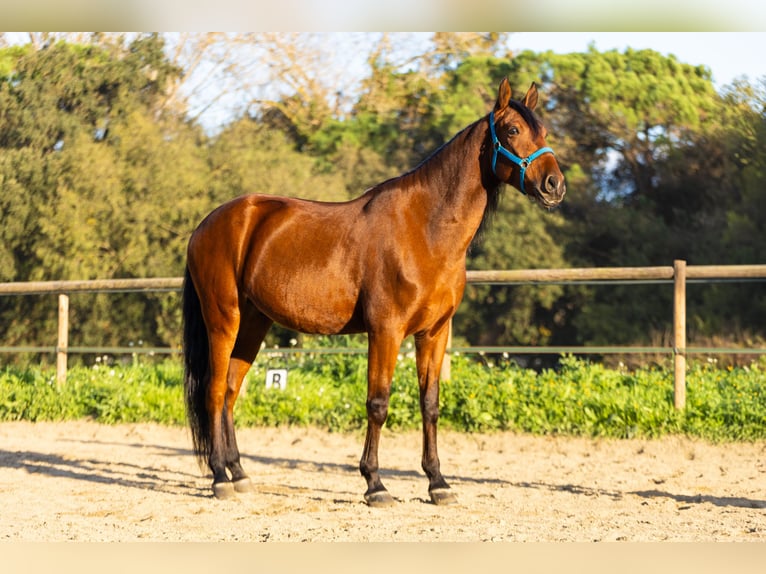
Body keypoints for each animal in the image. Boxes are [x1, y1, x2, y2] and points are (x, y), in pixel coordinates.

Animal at [180, 79, 564, 506]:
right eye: (512, 130)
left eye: (544, 132)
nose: (554, 185)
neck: (425, 229)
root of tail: (207, 224)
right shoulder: (386, 331)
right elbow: (378, 403)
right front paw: (375, 483)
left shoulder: (434, 333)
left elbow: (430, 404)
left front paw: (438, 482)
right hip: (223, 320)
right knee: (214, 391)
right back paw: (219, 477)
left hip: (253, 324)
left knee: (231, 390)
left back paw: (240, 473)